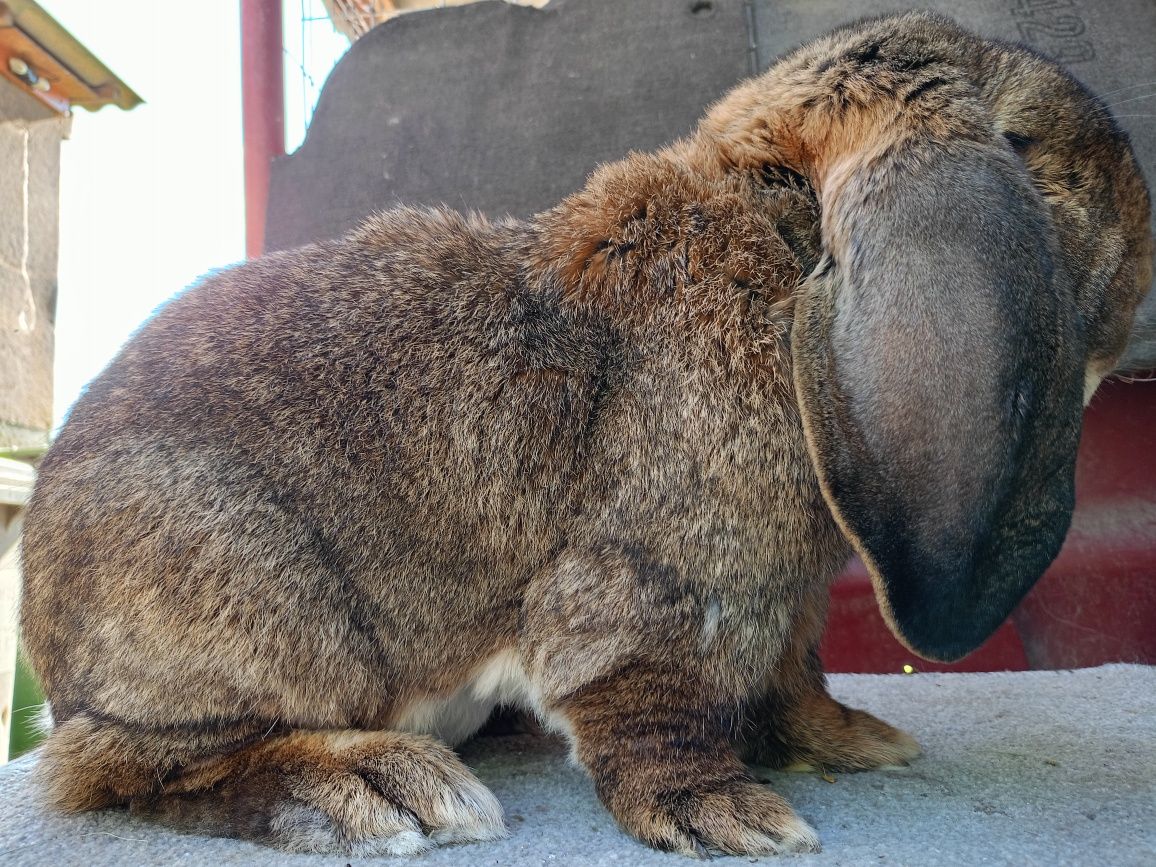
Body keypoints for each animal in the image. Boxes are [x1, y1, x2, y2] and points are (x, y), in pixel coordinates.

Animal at [13, 11, 1151, 864]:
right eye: (1050, 150)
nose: (1143, 258)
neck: (776, 243)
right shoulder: (654, 591)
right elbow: (650, 709)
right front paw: (725, 815)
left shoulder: (780, 610)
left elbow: (793, 680)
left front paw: (856, 742)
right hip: (253, 600)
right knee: (127, 768)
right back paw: (377, 790)